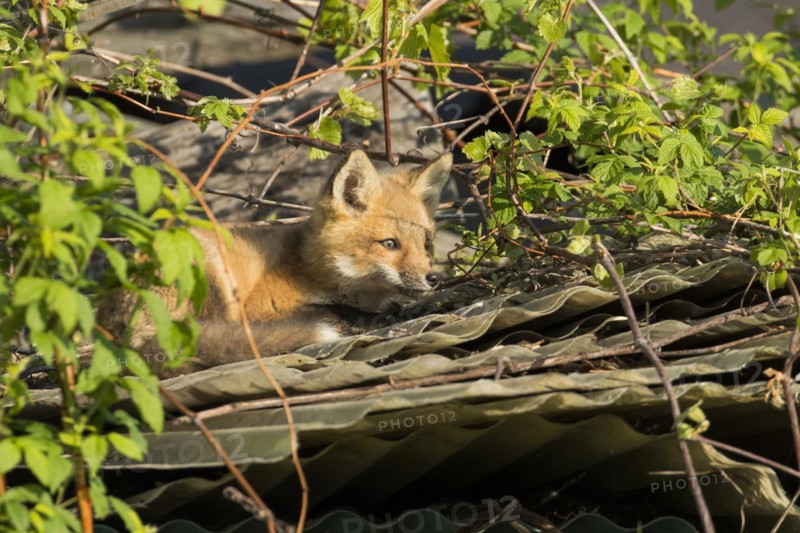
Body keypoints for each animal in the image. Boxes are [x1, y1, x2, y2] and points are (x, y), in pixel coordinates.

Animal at [101, 150, 453, 376]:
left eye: (426, 244)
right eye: (390, 244)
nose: (433, 279)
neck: (313, 267)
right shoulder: (258, 307)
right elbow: (331, 309)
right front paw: (369, 319)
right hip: (206, 269)